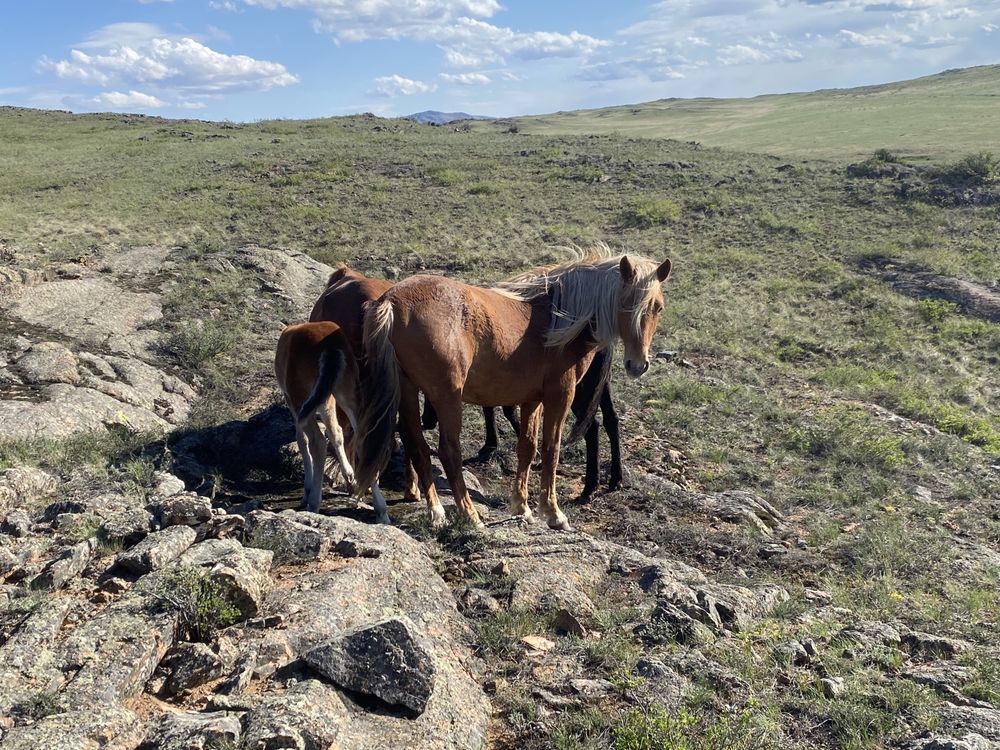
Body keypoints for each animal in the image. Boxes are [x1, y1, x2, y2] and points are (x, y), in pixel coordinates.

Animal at [274, 320, 390, 524]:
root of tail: (330, 347)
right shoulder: (327, 398)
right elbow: (336, 432)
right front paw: (349, 474)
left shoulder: (295, 401)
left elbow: (302, 440)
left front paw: (307, 489)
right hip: (347, 391)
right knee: (363, 438)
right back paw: (381, 510)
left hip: (300, 397)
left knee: (317, 442)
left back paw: (313, 503)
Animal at [352, 250, 672, 532]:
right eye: (626, 303)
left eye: (658, 307)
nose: (638, 364)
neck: (558, 317)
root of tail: (392, 301)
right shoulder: (560, 396)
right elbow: (551, 449)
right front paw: (553, 513)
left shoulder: (532, 400)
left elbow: (527, 448)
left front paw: (523, 507)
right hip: (447, 396)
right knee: (448, 452)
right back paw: (469, 514)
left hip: (407, 393)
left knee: (416, 446)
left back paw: (437, 512)